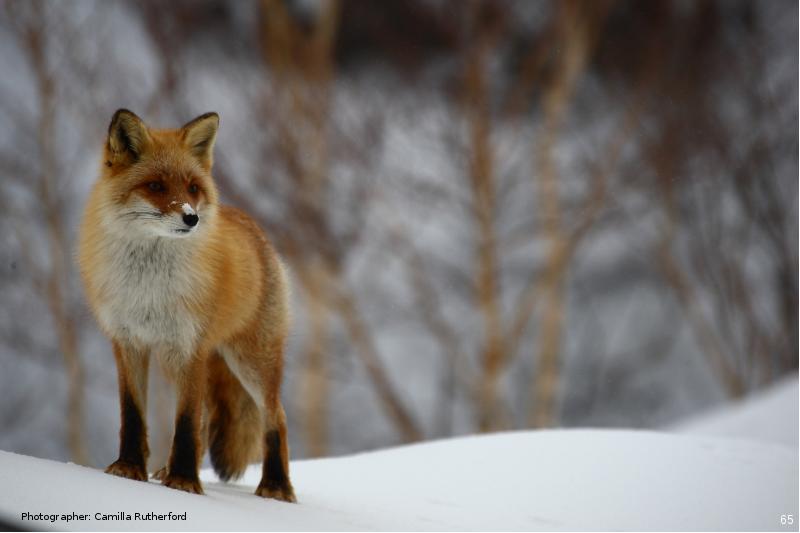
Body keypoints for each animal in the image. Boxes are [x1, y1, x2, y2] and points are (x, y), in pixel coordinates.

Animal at [77, 108, 296, 498]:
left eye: (193, 188)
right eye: (156, 186)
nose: (191, 217)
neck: (149, 286)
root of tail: (256, 230)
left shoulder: (190, 345)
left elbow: (185, 420)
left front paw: (183, 481)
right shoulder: (128, 341)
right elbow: (134, 414)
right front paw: (129, 468)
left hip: (251, 362)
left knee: (276, 417)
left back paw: (276, 486)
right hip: (183, 363)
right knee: (208, 418)